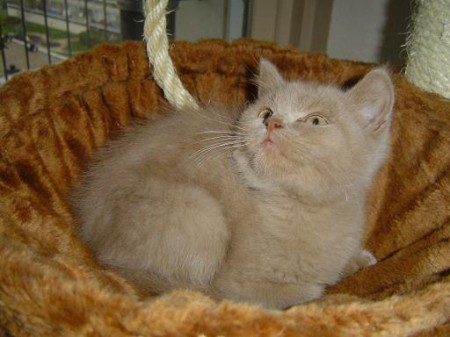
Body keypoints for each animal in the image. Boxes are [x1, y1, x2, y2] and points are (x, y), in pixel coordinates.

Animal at [74, 59, 394, 308]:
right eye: (267, 112)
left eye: (315, 121)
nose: (272, 123)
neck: (297, 206)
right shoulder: (243, 283)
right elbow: (299, 293)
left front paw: (356, 260)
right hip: (199, 211)